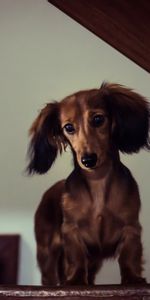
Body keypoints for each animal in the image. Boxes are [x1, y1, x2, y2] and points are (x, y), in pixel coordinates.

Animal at [27, 83, 149, 284]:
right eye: (68, 127)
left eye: (98, 119)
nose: (88, 160)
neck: (97, 179)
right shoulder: (71, 231)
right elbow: (76, 258)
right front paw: (75, 281)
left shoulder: (131, 227)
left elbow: (129, 255)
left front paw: (133, 279)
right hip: (46, 251)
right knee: (49, 275)